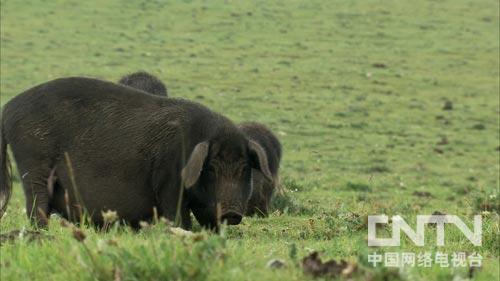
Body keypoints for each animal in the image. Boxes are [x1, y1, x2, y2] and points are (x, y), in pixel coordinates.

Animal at [0, 76, 272, 228]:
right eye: (212, 168)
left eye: (245, 168)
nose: (231, 212)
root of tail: (8, 109)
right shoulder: (168, 180)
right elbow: (178, 216)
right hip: (33, 160)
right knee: (36, 205)